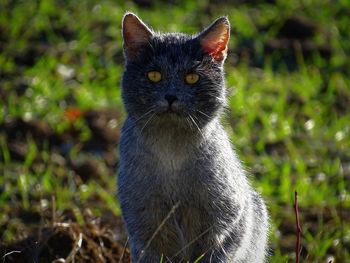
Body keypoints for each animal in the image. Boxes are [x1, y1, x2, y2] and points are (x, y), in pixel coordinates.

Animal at [117, 11, 268, 262]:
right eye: (154, 75)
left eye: (191, 78)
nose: (171, 96)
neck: (171, 150)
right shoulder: (144, 227)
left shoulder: (228, 220)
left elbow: (219, 253)